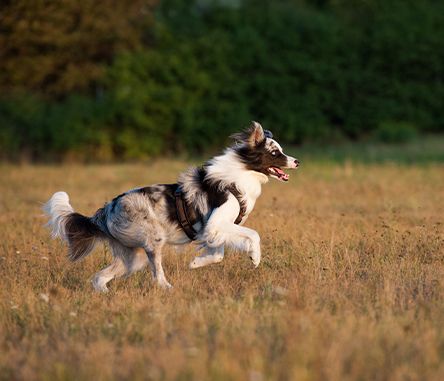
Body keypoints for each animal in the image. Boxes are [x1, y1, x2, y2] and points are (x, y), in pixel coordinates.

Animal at [44, 122, 298, 290]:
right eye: (275, 152)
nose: (297, 161)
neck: (239, 174)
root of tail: (105, 212)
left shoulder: (212, 231)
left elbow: (217, 254)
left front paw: (196, 263)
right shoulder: (216, 223)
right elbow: (253, 235)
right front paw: (255, 257)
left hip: (133, 258)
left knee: (98, 278)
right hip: (153, 241)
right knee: (156, 276)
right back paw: (168, 289)